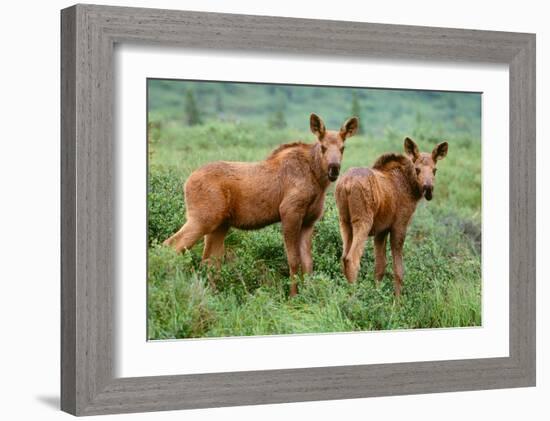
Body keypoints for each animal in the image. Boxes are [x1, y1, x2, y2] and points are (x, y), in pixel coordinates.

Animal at [164, 112, 362, 296]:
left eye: (343, 148)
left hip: (220, 225)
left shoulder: (309, 221)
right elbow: (293, 260)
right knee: (171, 246)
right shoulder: (289, 212)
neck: (317, 180)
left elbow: (308, 263)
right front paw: (293, 297)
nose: (334, 168)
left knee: (210, 261)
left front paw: (309, 295)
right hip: (203, 218)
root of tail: (186, 182)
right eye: (323, 147)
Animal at [336, 138, 448, 296]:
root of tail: (346, 184)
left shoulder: (381, 231)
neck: (411, 187)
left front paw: (378, 295)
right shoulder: (399, 225)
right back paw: (354, 297)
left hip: (344, 221)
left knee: (343, 257)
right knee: (352, 259)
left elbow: (380, 268)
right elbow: (399, 270)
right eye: (417, 169)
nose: (428, 188)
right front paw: (397, 301)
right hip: (363, 221)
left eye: (434, 170)